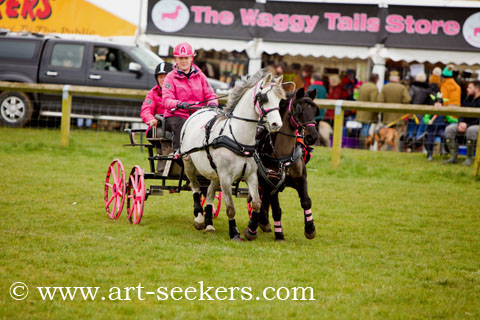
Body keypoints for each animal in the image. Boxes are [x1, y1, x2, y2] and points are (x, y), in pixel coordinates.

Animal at [246, 87, 320, 240]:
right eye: (299, 109)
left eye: (316, 110)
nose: (313, 136)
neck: (282, 157)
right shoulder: (272, 183)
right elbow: (276, 210)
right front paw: (279, 234)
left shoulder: (301, 178)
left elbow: (306, 201)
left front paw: (310, 229)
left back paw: (262, 222)